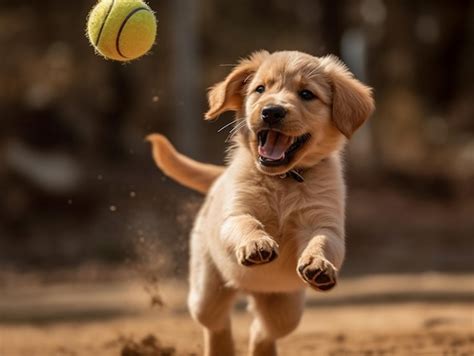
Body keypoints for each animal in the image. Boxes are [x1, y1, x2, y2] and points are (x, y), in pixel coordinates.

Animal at [148, 50, 374, 356]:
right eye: (260, 89)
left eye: (306, 94)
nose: (272, 111)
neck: (283, 180)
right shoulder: (235, 213)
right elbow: (247, 223)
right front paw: (256, 244)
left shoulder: (325, 224)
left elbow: (322, 242)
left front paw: (318, 264)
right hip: (207, 290)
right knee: (216, 324)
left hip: (286, 309)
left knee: (262, 331)